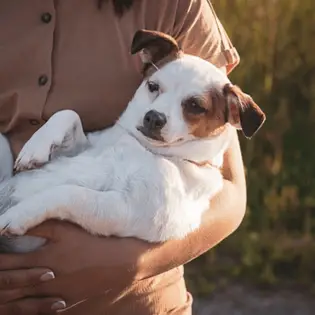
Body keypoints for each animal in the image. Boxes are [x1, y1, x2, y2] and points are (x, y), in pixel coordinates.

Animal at [0, 30, 266, 254]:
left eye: (195, 106)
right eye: (153, 86)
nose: (154, 117)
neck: (147, 149)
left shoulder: (126, 209)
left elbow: (69, 192)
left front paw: (19, 214)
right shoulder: (84, 147)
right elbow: (68, 114)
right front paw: (35, 149)